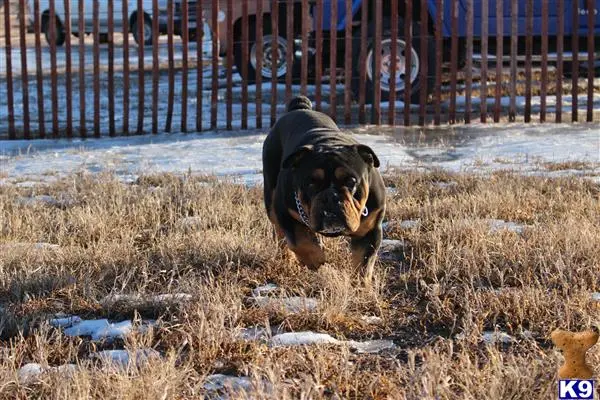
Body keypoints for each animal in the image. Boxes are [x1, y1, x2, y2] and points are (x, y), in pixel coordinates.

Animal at [262, 94, 384, 282]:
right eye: (311, 183)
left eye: (351, 181)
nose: (331, 196)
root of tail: (299, 107)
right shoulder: (284, 212)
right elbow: (300, 242)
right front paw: (316, 260)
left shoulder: (370, 230)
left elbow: (363, 263)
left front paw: (361, 286)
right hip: (271, 199)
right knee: (281, 234)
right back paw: (287, 259)